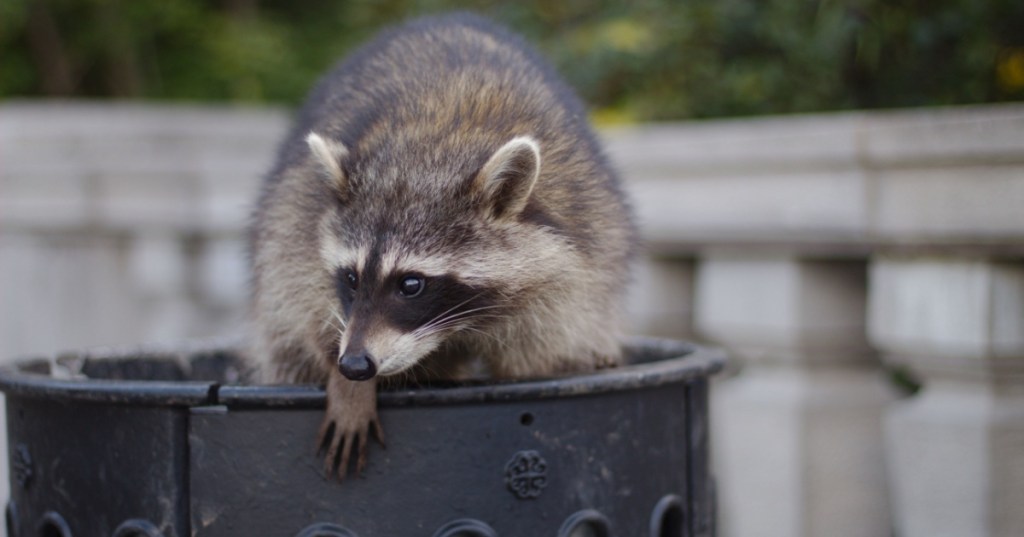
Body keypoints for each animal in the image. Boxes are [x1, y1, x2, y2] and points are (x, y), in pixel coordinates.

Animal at [248, 13, 636, 479]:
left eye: (411, 284)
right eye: (351, 278)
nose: (355, 365)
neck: (434, 143)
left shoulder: (579, 252)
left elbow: (537, 354)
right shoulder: (298, 218)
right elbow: (301, 297)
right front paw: (346, 384)